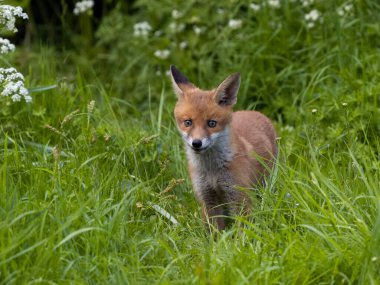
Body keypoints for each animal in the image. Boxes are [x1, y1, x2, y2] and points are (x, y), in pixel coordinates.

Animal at [170, 65, 276, 230]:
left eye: (211, 123)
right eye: (188, 122)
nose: (197, 143)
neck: (212, 170)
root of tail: (255, 112)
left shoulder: (238, 195)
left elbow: (242, 229)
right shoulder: (207, 198)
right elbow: (216, 232)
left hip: (266, 184)